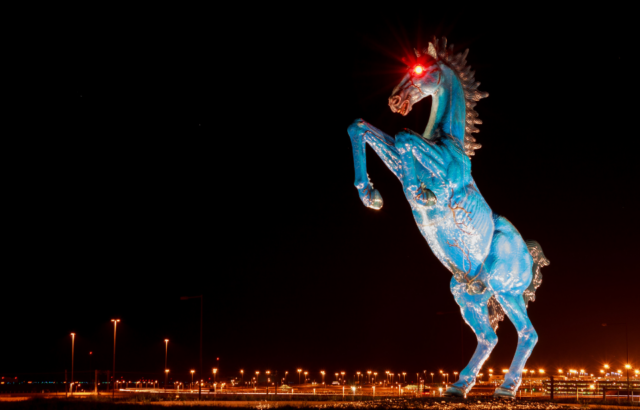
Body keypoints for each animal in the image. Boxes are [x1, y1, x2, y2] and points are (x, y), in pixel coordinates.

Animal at [348, 37, 548, 398]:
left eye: (419, 70)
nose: (395, 101)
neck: (449, 143)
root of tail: (530, 254)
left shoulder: (439, 171)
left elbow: (405, 137)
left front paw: (419, 194)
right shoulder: (398, 158)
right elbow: (364, 129)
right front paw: (371, 196)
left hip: (506, 291)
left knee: (527, 334)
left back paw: (506, 388)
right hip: (468, 292)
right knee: (490, 337)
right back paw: (459, 385)